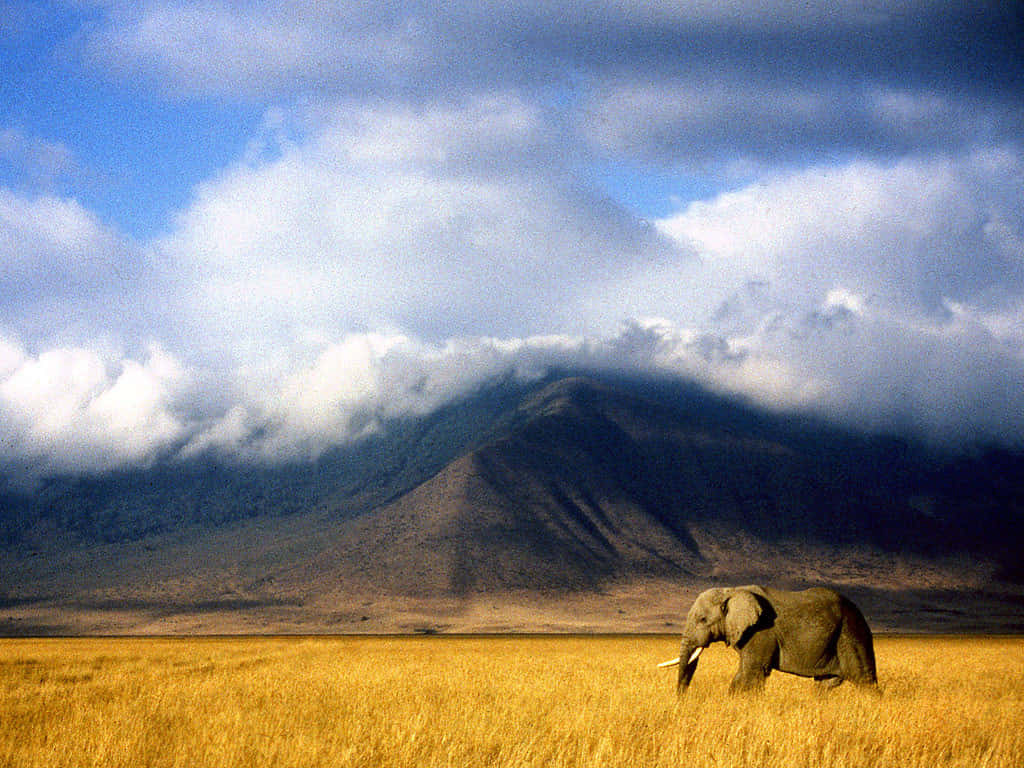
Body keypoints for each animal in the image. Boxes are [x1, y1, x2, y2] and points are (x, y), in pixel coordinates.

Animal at [658, 585, 877, 694]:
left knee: (865, 681)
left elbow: (751, 672)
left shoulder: (761, 631)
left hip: (851, 632)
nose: (681, 700)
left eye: (703, 619)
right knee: (825, 686)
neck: (731, 591)